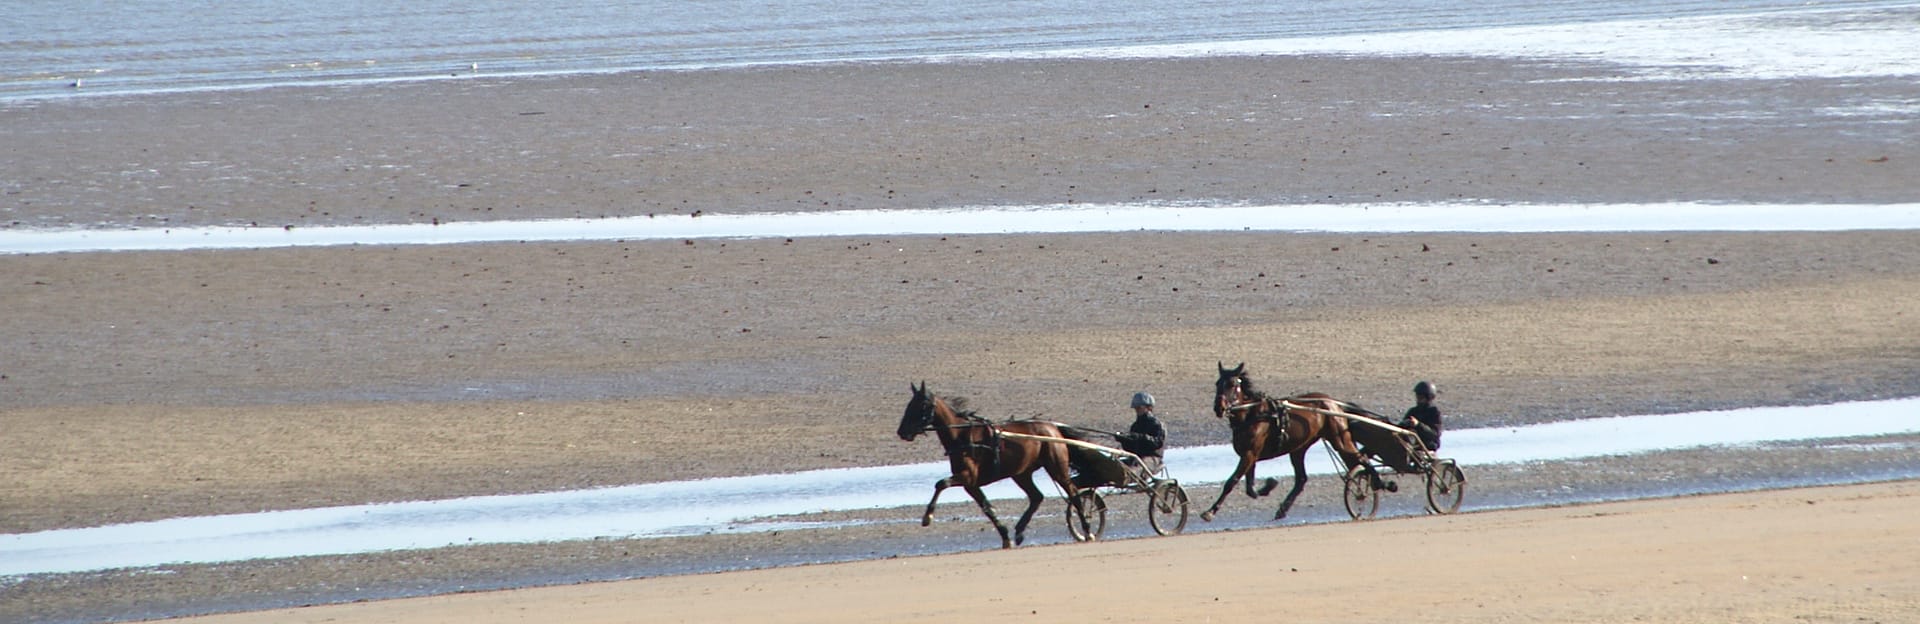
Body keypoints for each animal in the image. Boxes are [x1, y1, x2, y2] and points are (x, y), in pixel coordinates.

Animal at [896, 382, 1082, 548]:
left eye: (922, 405)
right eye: (909, 404)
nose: (902, 431)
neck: (962, 436)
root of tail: (1052, 427)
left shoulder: (967, 476)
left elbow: (941, 483)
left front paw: (927, 517)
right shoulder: (971, 485)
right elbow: (987, 508)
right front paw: (1005, 537)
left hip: (1056, 468)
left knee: (1073, 493)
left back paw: (1086, 530)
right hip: (1021, 473)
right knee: (1037, 497)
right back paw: (1020, 531)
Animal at [1199, 362, 1368, 522]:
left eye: (1232, 384)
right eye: (1217, 383)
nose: (1218, 408)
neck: (1252, 416)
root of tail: (1333, 403)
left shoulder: (1249, 454)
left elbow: (1232, 481)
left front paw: (1210, 512)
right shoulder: (1249, 456)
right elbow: (1250, 489)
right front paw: (1268, 486)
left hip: (1340, 440)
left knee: (1360, 461)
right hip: (1299, 449)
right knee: (1301, 479)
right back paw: (1282, 510)